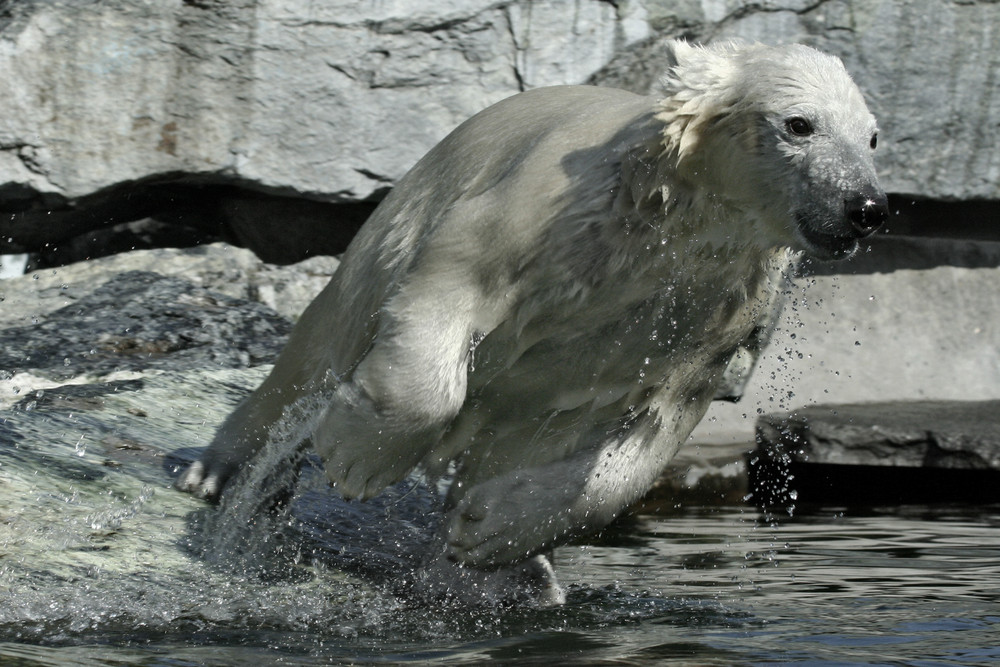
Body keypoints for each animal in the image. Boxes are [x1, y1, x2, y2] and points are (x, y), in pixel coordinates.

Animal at [178, 41, 884, 600]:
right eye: (799, 123)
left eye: (872, 136)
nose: (867, 206)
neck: (672, 222)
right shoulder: (546, 219)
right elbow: (456, 280)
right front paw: (356, 458)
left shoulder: (705, 316)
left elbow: (646, 433)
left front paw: (489, 532)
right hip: (393, 227)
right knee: (320, 349)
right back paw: (221, 471)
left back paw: (504, 577)